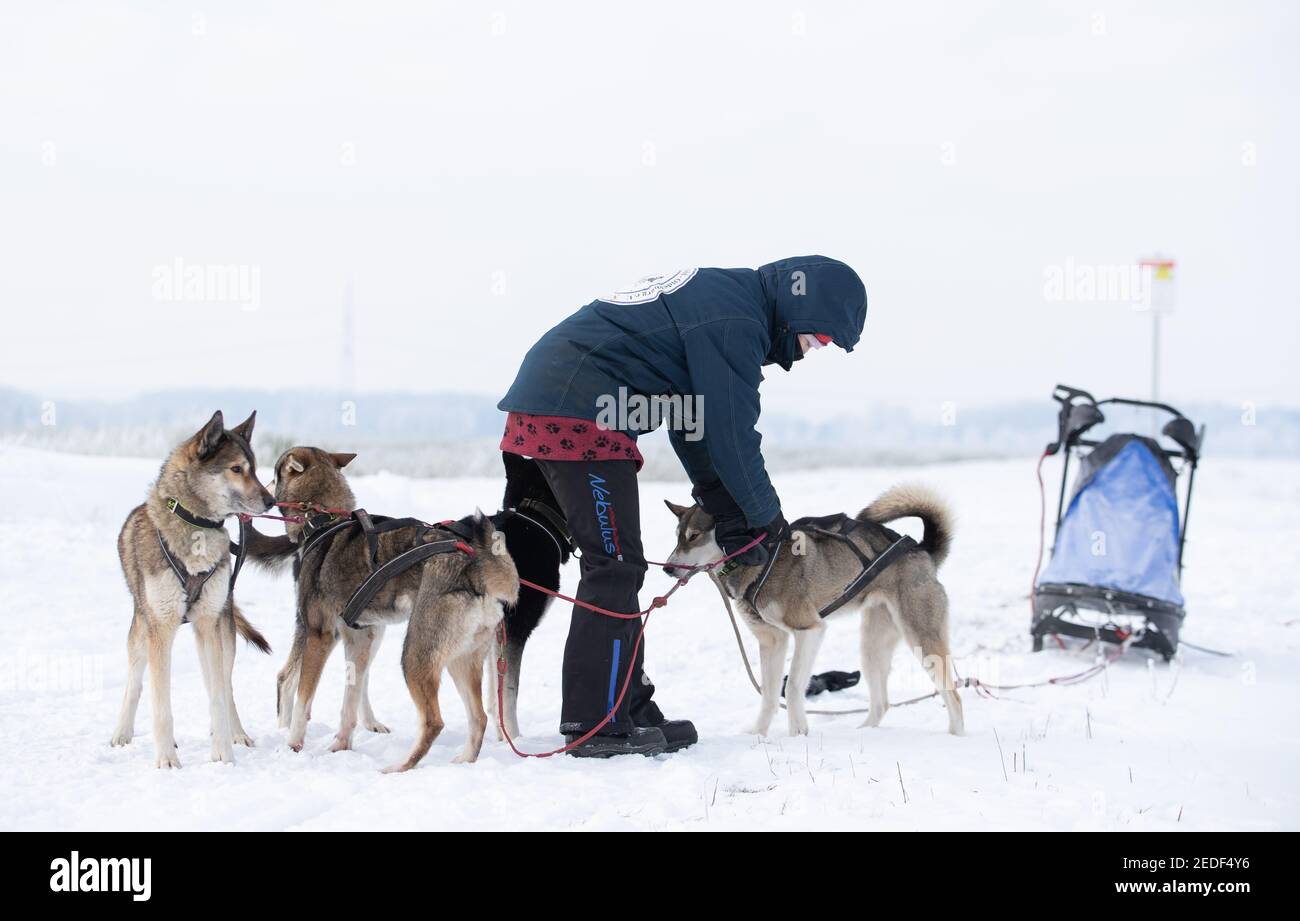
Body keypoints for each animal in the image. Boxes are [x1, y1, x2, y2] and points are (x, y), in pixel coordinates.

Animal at [111, 413, 274, 764]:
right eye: (236, 469)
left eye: (254, 468)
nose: (272, 500)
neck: (195, 524)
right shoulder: (160, 628)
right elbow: (161, 705)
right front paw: (166, 761)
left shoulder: (209, 624)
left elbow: (218, 697)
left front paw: (224, 755)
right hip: (142, 628)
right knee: (135, 682)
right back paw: (122, 733)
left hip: (219, 631)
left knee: (223, 686)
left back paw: (236, 733)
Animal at [245, 447, 520, 770]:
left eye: (275, 473)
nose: (265, 494)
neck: (324, 520)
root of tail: (474, 567)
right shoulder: (360, 637)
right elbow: (350, 699)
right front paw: (341, 745)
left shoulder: (319, 635)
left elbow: (305, 699)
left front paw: (293, 744)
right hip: (460, 660)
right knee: (479, 718)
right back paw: (463, 760)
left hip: (414, 655)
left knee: (434, 721)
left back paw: (400, 767)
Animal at [665, 486, 961, 738]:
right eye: (678, 537)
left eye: (694, 536)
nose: (667, 568)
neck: (758, 558)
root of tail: (921, 550)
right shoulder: (772, 640)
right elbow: (769, 694)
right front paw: (758, 734)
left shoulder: (809, 630)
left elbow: (793, 685)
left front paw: (798, 733)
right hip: (871, 648)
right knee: (882, 703)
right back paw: (865, 732)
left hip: (922, 641)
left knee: (953, 694)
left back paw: (955, 736)